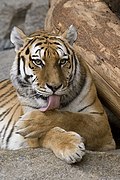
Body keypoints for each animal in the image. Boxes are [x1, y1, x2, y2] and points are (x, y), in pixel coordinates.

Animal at [0, 25, 115, 165]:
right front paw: (70, 147)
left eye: (63, 61)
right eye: (38, 62)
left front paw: (28, 122)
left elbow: (73, 117)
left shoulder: (101, 121)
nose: (54, 87)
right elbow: (50, 132)